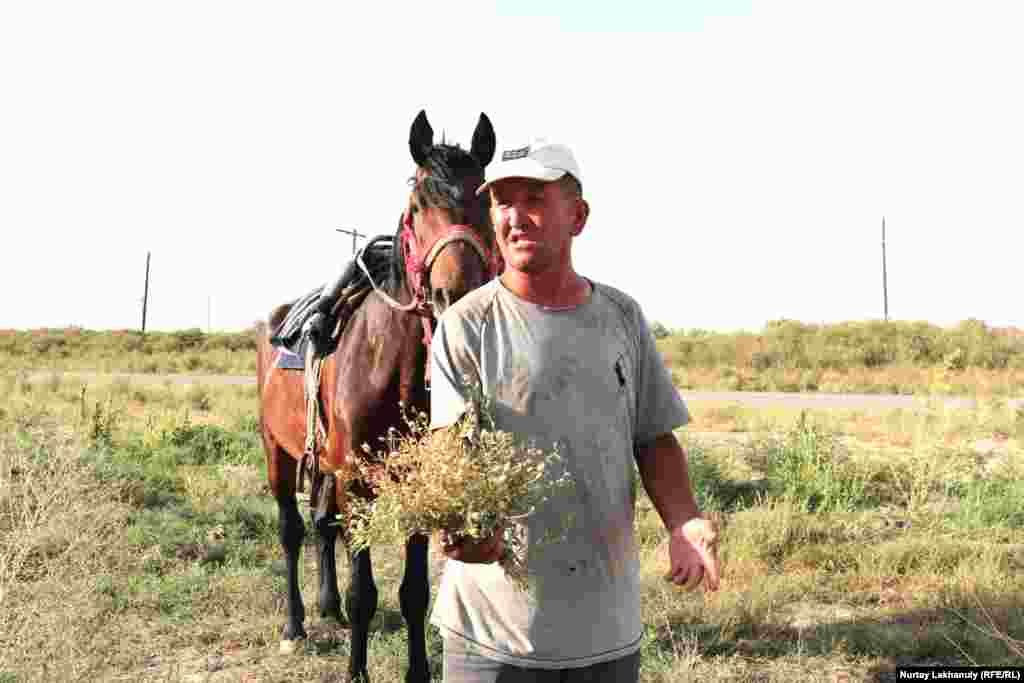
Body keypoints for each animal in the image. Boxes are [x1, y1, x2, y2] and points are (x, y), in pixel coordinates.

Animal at [253, 109, 497, 679]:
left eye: (486, 200)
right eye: (417, 205)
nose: (455, 293)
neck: (394, 370)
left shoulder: (420, 480)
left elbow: (414, 591)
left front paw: (417, 671)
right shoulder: (358, 480)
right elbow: (365, 590)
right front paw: (357, 670)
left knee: (324, 525)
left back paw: (328, 607)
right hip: (278, 452)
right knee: (292, 531)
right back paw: (295, 626)